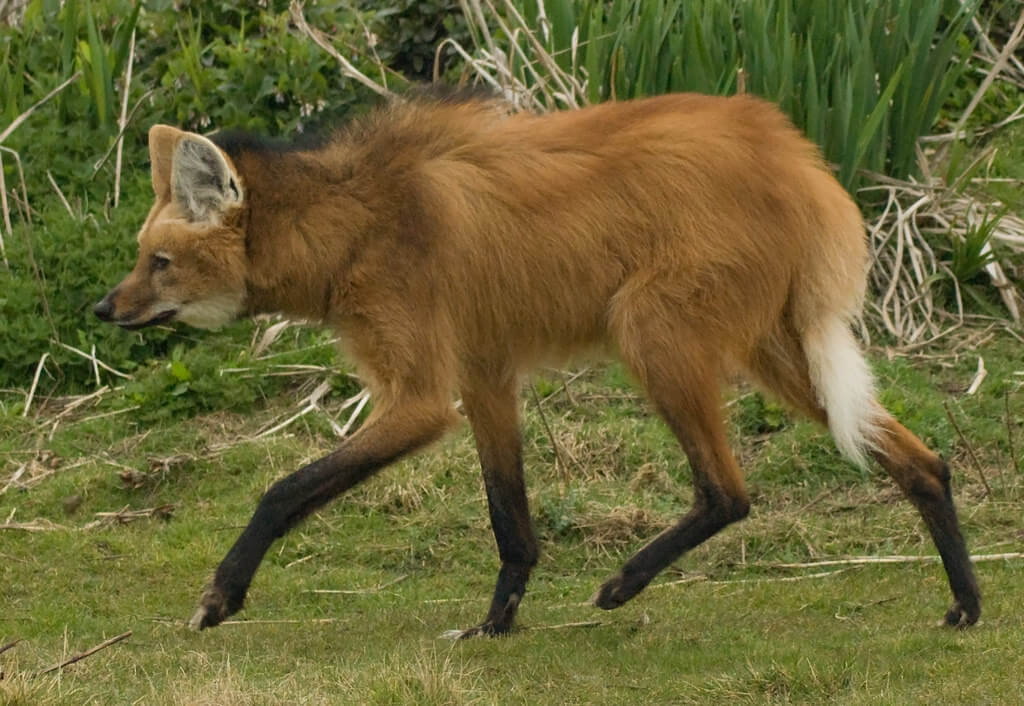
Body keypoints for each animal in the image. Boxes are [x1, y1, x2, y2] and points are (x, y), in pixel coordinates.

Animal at [94, 90, 974, 635]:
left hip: (651, 329)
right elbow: (509, 517)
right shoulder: (484, 372)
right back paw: (966, 605)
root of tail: (797, 157)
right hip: (772, 348)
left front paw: (220, 596)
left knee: (728, 492)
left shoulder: (422, 396)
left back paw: (620, 584)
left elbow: (283, 490)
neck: (351, 226)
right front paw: (494, 625)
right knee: (921, 459)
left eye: (160, 263)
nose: (103, 309)